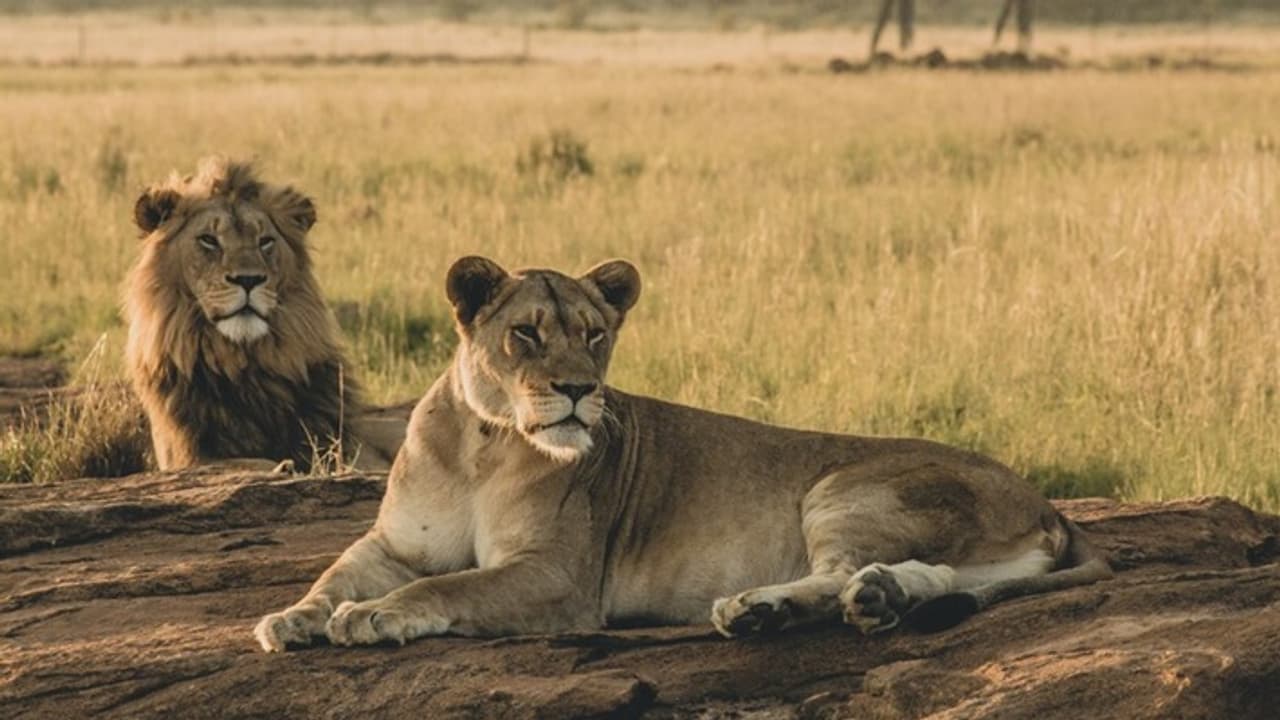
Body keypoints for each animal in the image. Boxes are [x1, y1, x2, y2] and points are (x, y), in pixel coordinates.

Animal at [125, 157, 402, 472]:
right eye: (208, 240)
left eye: (265, 241)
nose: (249, 279)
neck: (245, 366)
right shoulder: (187, 455)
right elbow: (243, 463)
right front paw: (281, 467)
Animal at [255, 255, 1111, 651]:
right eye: (526, 332)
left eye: (596, 334)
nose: (579, 389)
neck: (483, 442)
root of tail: (1049, 504)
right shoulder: (392, 542)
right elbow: (334, 575)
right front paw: (291, 618)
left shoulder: (559, 578)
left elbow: (449, 587)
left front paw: (375, 617)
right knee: (930, 578)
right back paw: (873, 599)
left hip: (844, 486)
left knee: (840, 571)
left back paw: (760, 608)